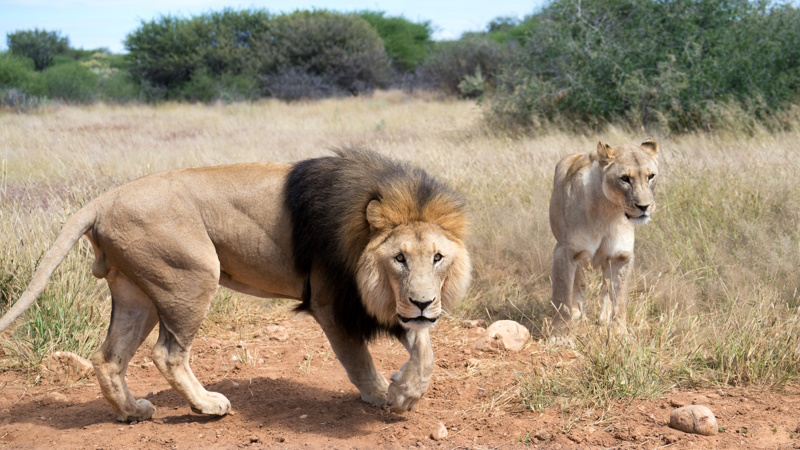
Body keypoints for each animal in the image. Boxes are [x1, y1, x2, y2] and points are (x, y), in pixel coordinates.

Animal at [0, 148, 472, 422]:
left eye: (437, 257)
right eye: (399, 258)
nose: (424, 302)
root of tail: (102, 200)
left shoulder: (388, 307)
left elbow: (425, 349)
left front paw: (406, 390)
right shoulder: (330, 301)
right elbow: (358, 360)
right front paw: (381, 396)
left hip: (138, 293)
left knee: (109, 357)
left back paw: (132, 411)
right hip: (191, 275)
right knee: (168, 353)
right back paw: (207, 405)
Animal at [548, 137, 660, 342]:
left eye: (651, 176)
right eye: (625, 179)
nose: (644, 206)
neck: (609, 211)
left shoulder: (622, 256)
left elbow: (620, 299)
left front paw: (619, 334)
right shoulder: (565, 252)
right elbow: (562, 297)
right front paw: (560, 336)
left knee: (606, 288)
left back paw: (603, 317)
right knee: (578, 282)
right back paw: (576, 312)